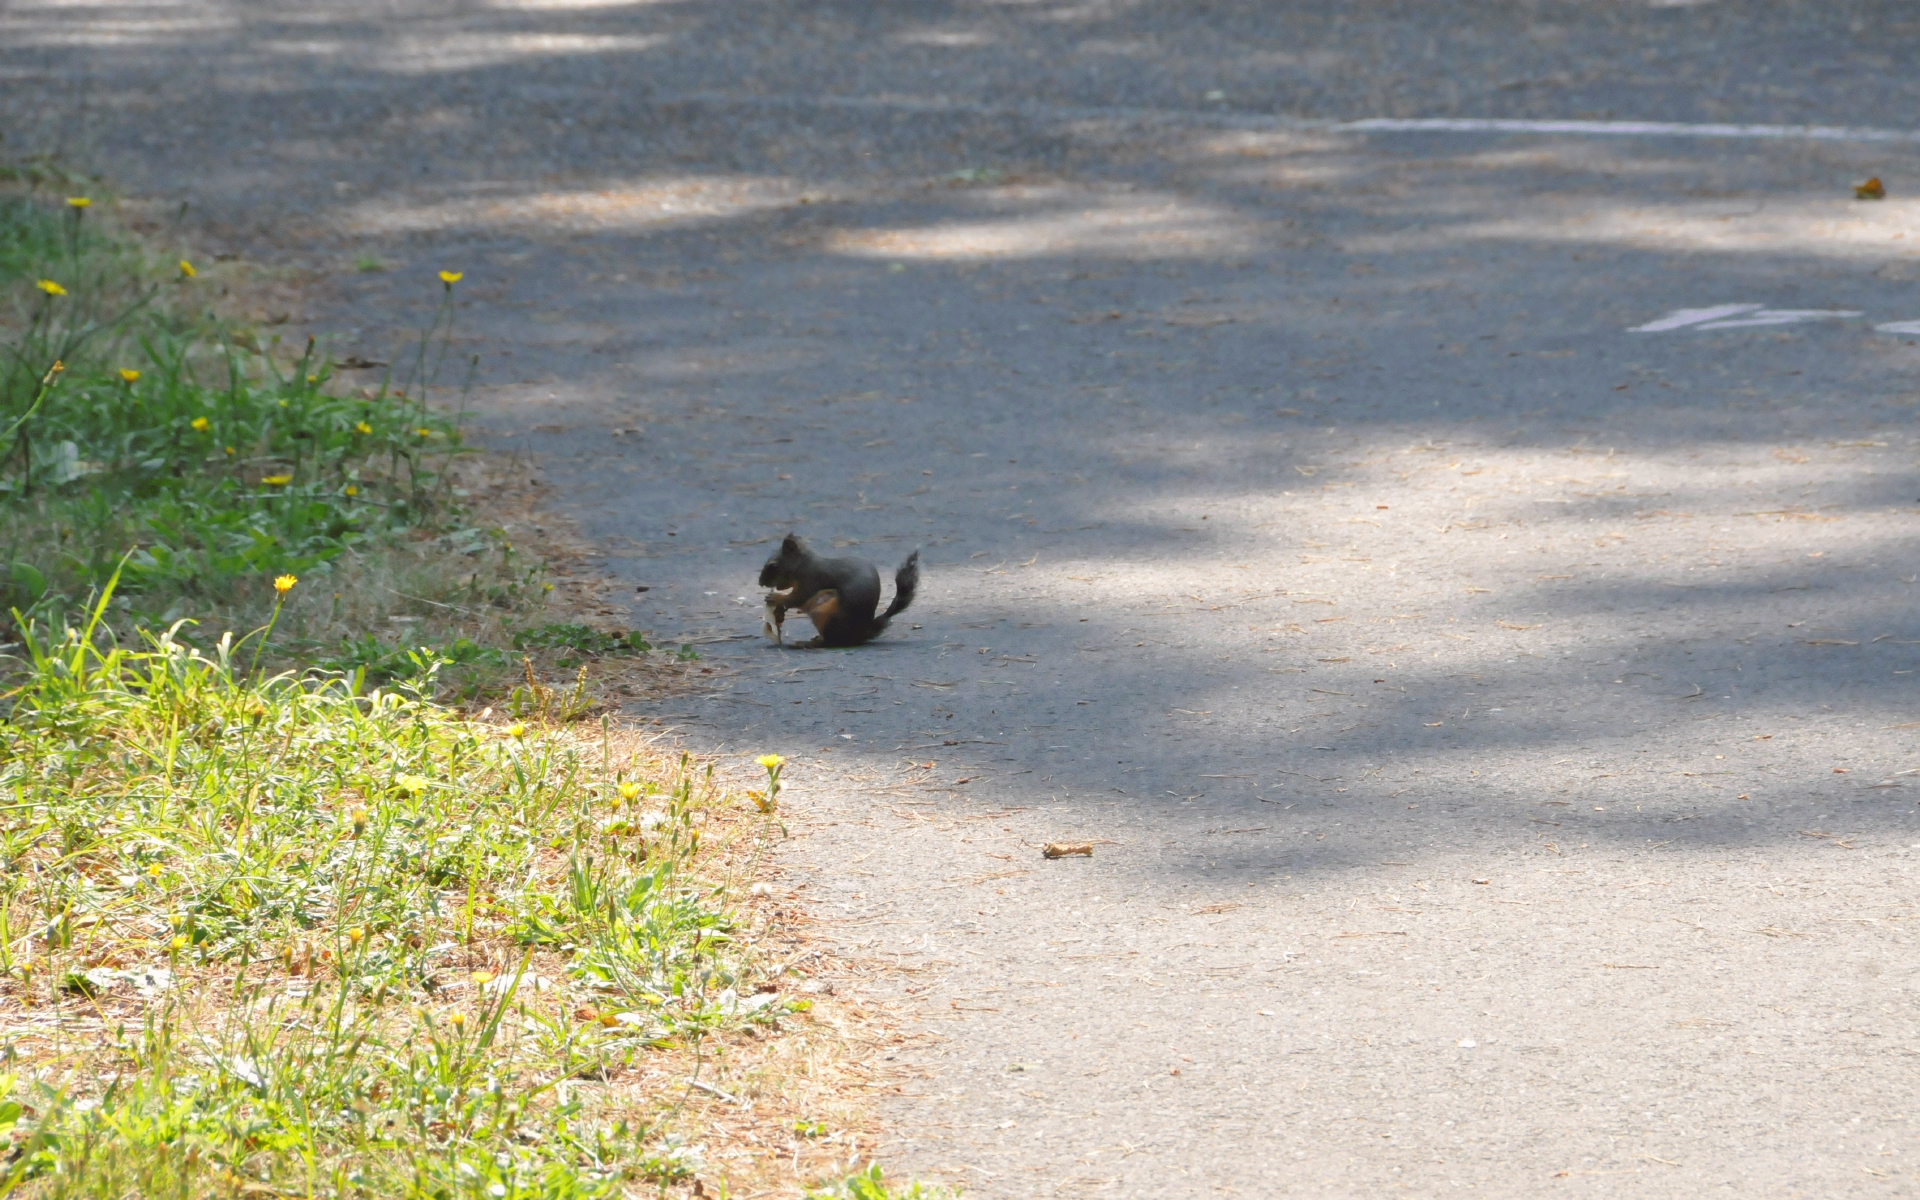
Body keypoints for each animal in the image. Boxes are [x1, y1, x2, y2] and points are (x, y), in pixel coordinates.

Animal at [756, 533, 921, 645]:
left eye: (773, 566)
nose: (760, 582)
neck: (804, 565)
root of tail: (859, 634)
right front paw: (779, 613)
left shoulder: (811, 580)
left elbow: (798, 598)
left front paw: (776, 598)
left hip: (828, 617)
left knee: (831, 641)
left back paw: (811, 643)